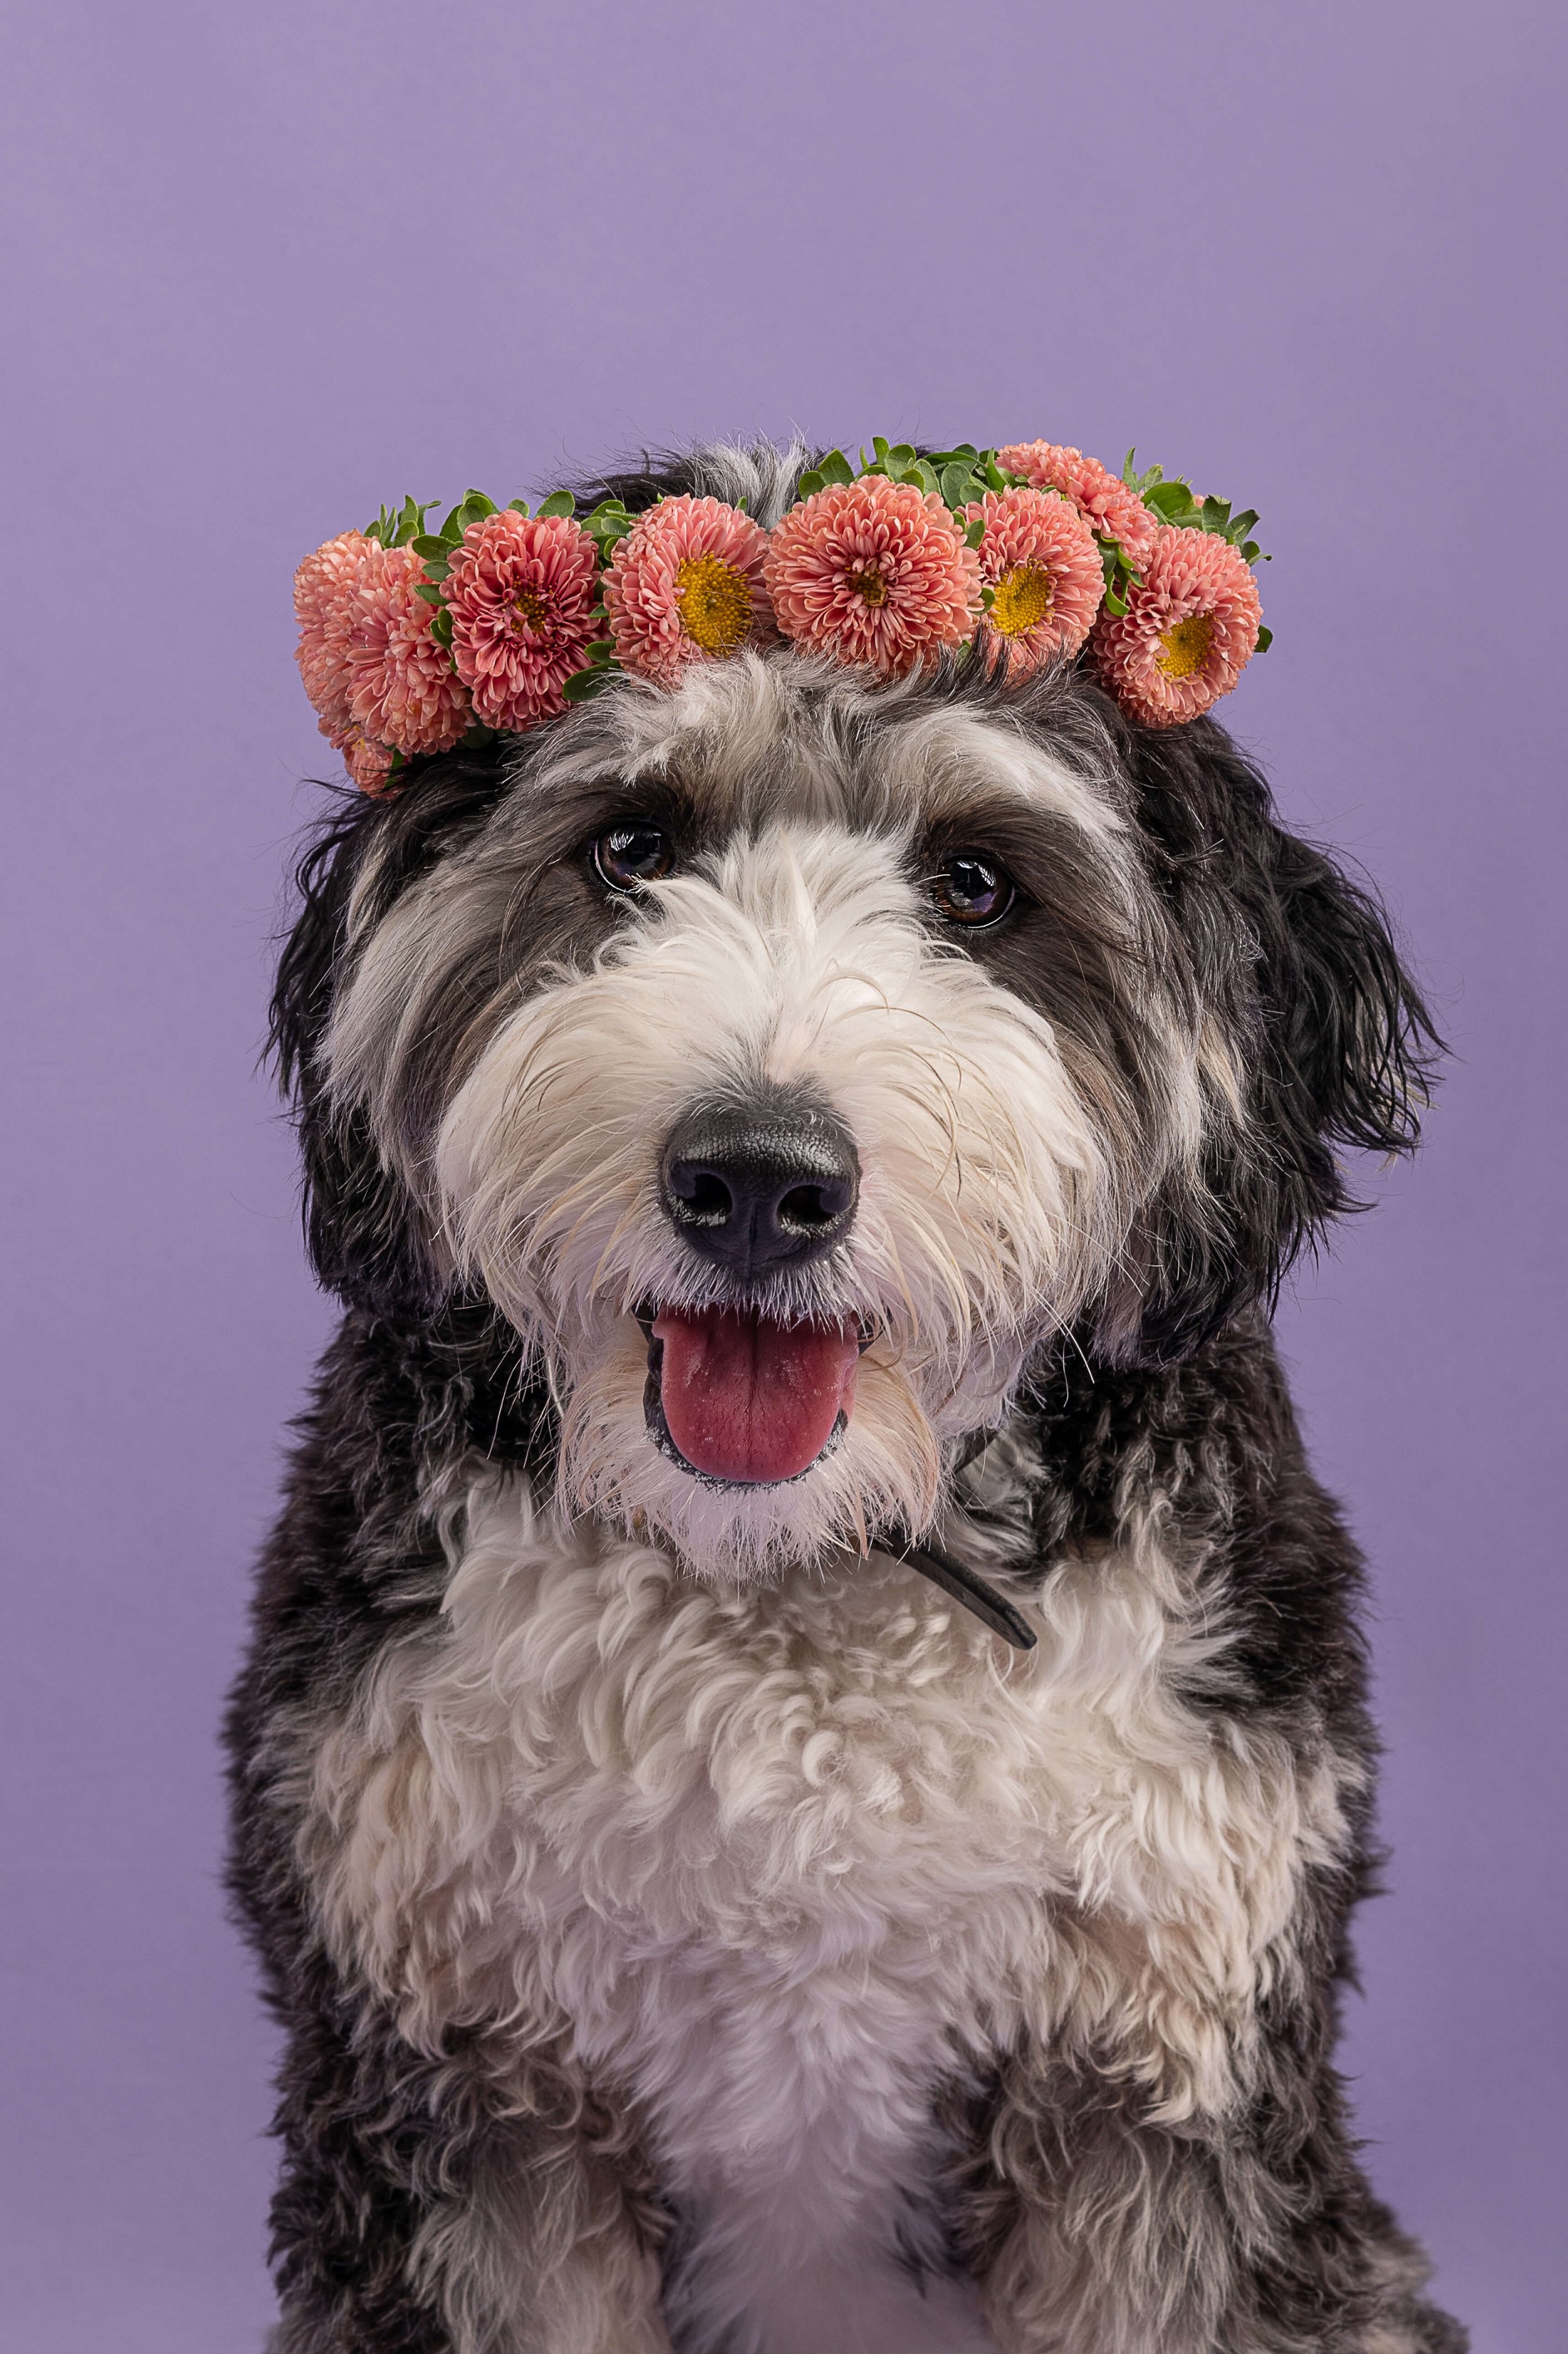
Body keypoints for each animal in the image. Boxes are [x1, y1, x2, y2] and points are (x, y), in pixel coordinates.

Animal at [226, 442, 1459, 2354]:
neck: (804, 1576)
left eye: (974, 886)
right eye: (630, 847)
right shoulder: (458, 2092)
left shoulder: (1160, 2093)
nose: (755, 1178)